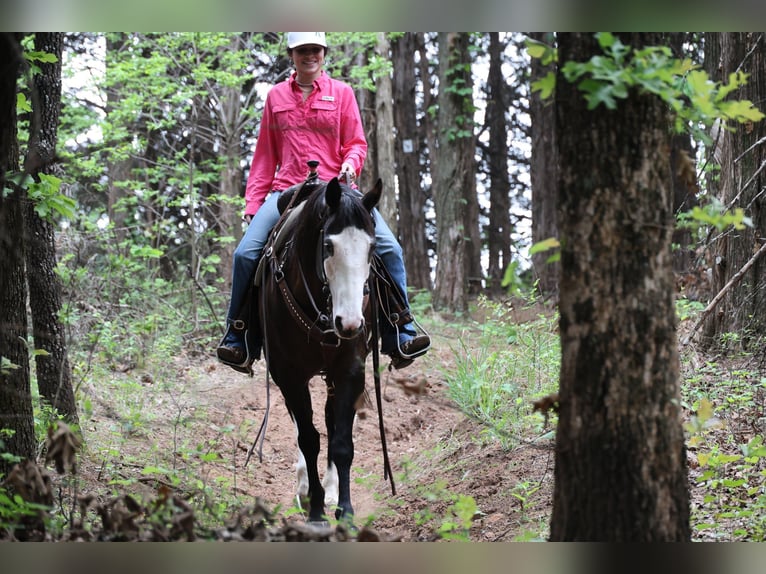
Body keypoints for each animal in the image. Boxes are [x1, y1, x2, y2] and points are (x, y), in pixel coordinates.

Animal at [254, 175, 386, 524]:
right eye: (328, 246)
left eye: (372, 247)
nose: (349, 323)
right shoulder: (289, 375)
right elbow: (308, 438)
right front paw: (314, 510)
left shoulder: (350, 370)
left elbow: (341, 441)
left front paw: (344, 509)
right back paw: (306, 490)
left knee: (329, 420)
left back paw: (330, 489)